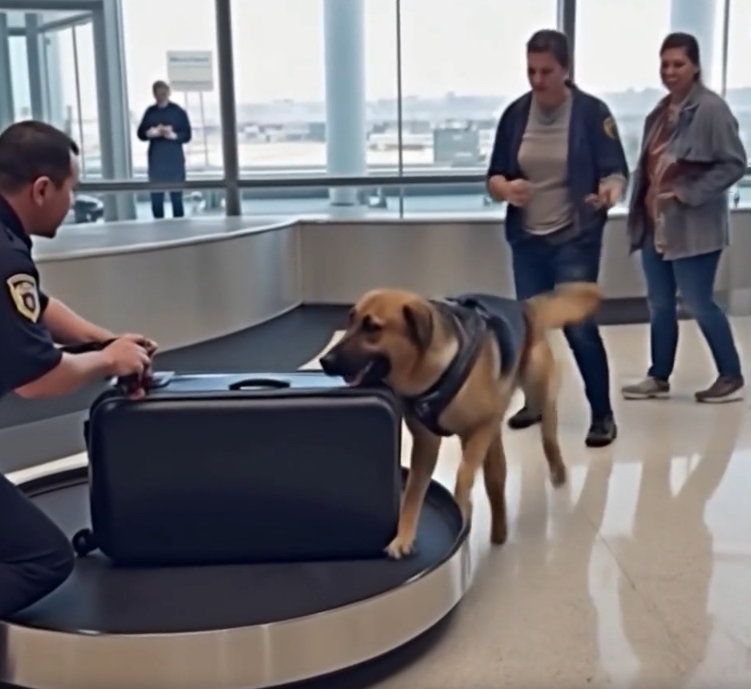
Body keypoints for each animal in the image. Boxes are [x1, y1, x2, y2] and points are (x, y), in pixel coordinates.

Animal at [319, 282, 603, 559]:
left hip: (537, 392)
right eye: (351, 321)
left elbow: (464, 473)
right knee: (496, 480)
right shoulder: (426, 445)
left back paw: (557, 470)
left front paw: (461, 507)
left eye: (372, 327)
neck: (428, 371)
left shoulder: (480, 428)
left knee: (548, 435)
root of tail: (524, 307)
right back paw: (499, 531)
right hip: (493, 441)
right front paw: (404, 537)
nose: (324, 361)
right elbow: (412, 494)